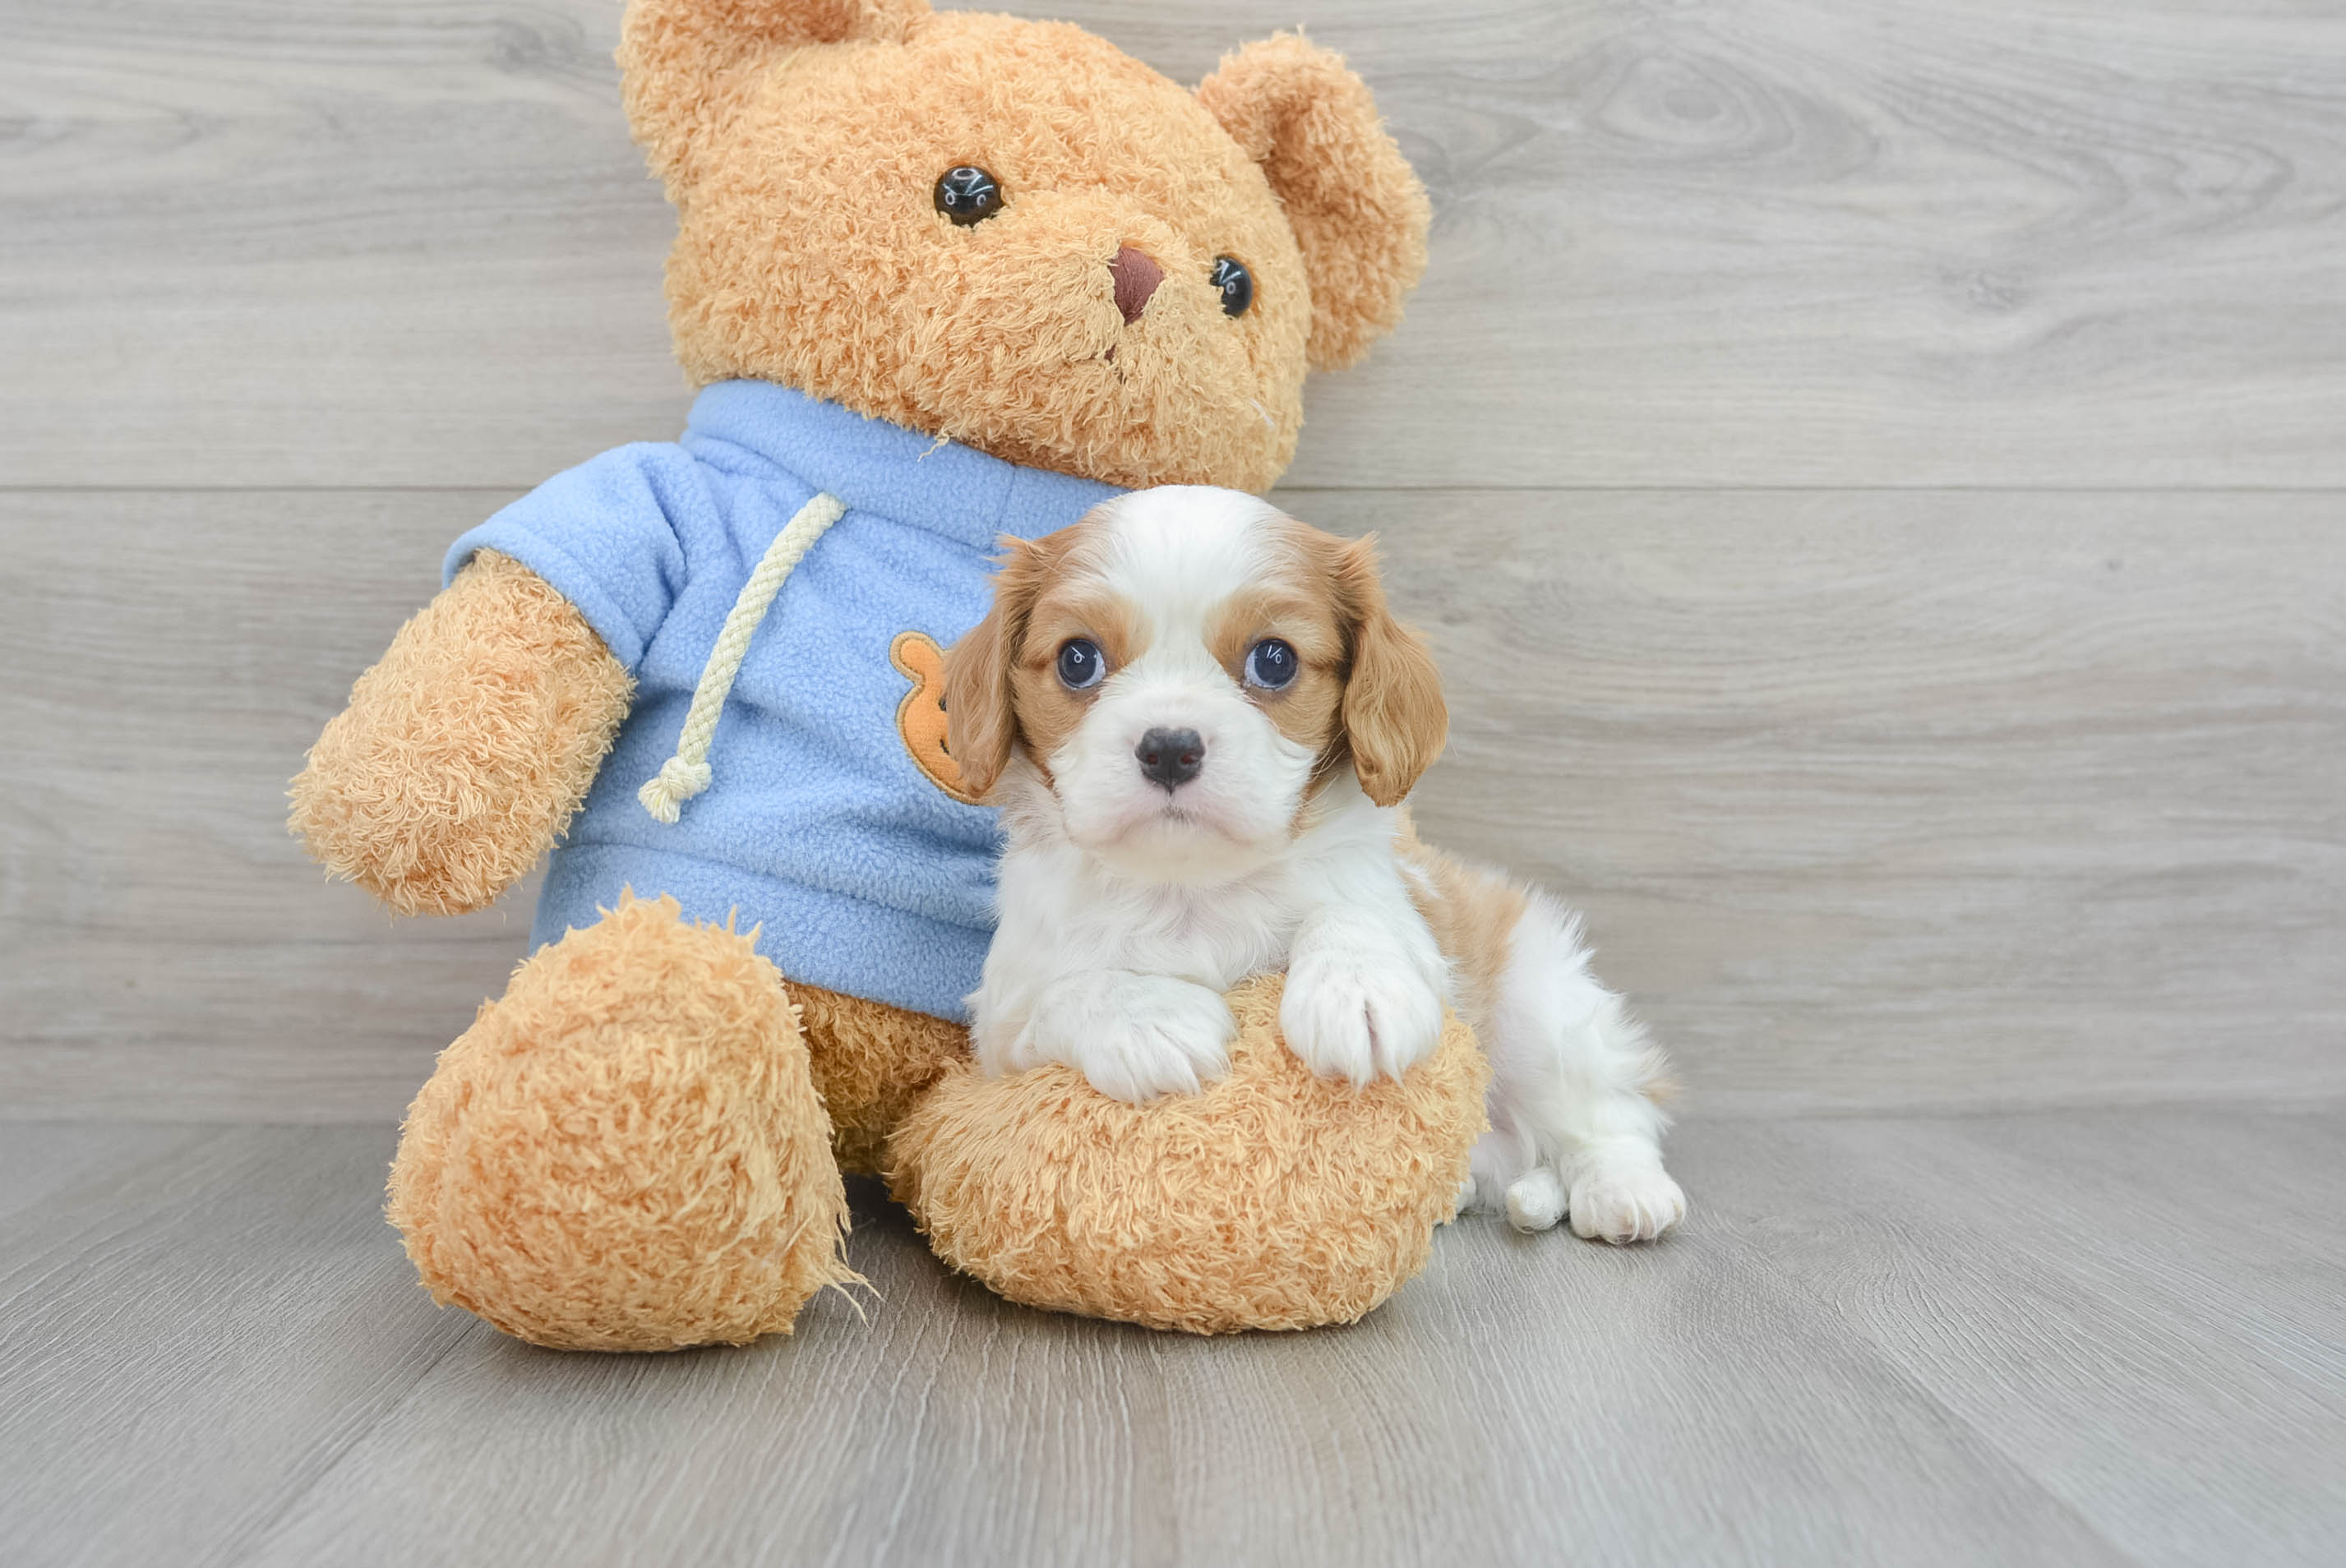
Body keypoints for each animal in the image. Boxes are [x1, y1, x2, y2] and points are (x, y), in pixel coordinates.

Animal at [938, 482, 1688, 1237]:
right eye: (1077, 660)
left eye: (1274, 661)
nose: (1170, 746)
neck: (1190, 889)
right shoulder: (1000, 1028)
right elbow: (1059, 998)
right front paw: (1148, 1017)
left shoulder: (1412, 918)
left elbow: (1353, 912)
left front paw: (1357, 991)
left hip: (1541, 1007)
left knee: (1610, 1110)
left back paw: (1623, 1190)